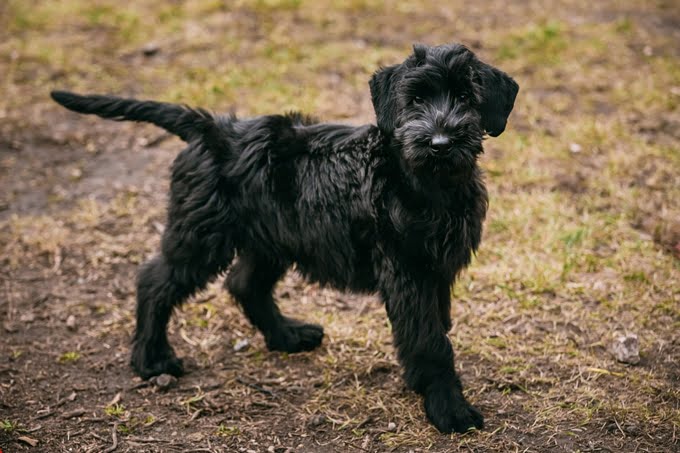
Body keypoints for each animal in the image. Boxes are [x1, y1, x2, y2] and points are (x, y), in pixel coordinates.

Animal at [51, 43, 520, 434]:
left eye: (466, 98)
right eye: (416, 100)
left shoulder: (438, 269)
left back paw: (287, 337)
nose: (440, 142)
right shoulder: (408, 271)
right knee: (155, 281)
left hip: (270, 239)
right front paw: (449, 409)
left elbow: (436, 328)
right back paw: (152, 360)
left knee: (244, 284)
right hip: (201, 237)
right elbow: (429, 341)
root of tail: (210, 129)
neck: (422, 181)